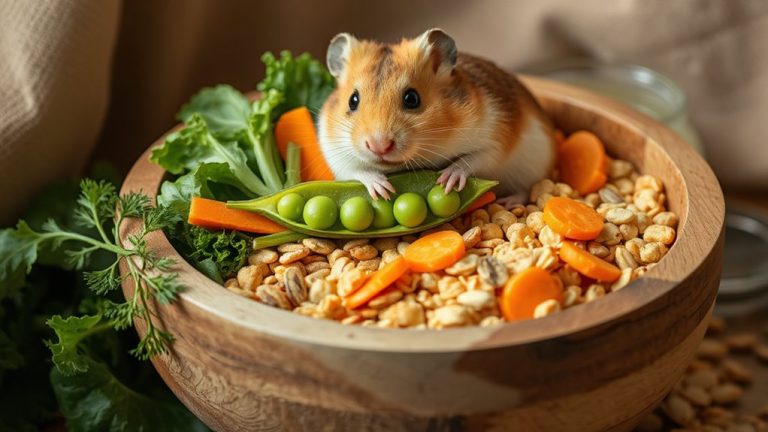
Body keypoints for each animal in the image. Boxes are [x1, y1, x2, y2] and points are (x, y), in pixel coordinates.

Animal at [318, 28, 556, 201]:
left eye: (412, 98)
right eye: (353, 100)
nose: (379, 146)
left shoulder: (495, 138)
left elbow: (473, 159)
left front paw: (447, 180)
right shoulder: (335, 155)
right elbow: (357, 171)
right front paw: (382, 190)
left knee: (525, 189)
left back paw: (508, 202)